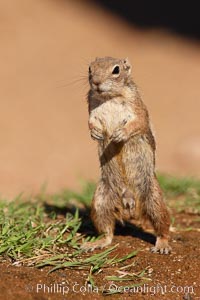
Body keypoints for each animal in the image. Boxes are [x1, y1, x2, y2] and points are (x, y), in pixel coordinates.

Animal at [82, 56, 171, 253]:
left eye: (116, 70)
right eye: (90, 69)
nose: (96, 82)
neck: (110, 97)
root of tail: (130, 206)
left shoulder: (136, 107)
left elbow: (139, 122)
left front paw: (119, 134)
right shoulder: (92, 108)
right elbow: (90, 122)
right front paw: (95, 133)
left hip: (154, 198)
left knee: (162, 225)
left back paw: (162, 244)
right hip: (100, 201)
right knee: (107, 230)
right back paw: (96, 243)